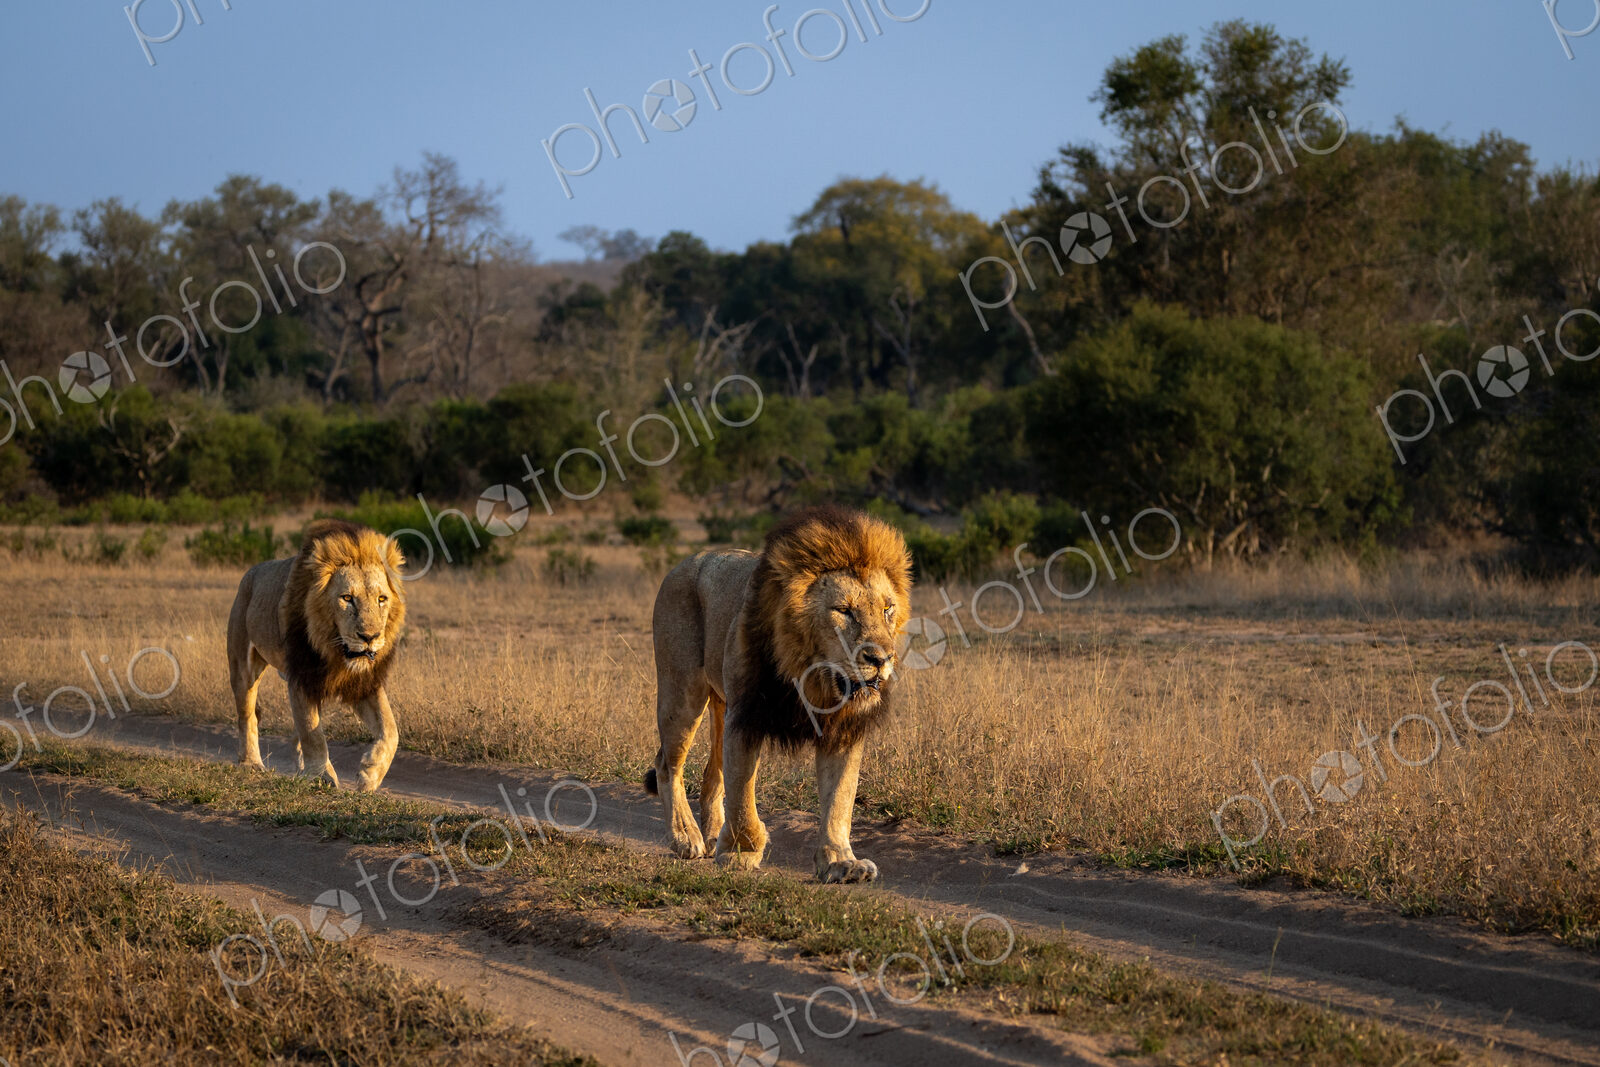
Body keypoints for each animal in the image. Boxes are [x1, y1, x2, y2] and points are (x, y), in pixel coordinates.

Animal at [226, 518, 406, 793]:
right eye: (347, 598)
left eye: (381, 599)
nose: (370, 636)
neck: (334, 651)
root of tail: (250, 573)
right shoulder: (302, 676)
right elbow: (312, 733)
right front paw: (321, 777)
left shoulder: (363, 682)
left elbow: (390, 729)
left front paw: (370, 774)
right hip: (242, 666)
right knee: (247, 715)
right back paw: (251, 764)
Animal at [643, 505, 912, 883]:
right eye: (843, 610)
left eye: (888, 609)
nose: (880, 659)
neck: (814, 676)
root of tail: (687, 560)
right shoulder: (747, 717)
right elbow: (743, 794)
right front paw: (741, 852)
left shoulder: (844, 729)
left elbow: (840, 798)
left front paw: (840, 862)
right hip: (682, 693)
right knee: (668, 764)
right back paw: (685, 837)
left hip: (720, 705)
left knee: (712, 776)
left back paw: (711, 838)